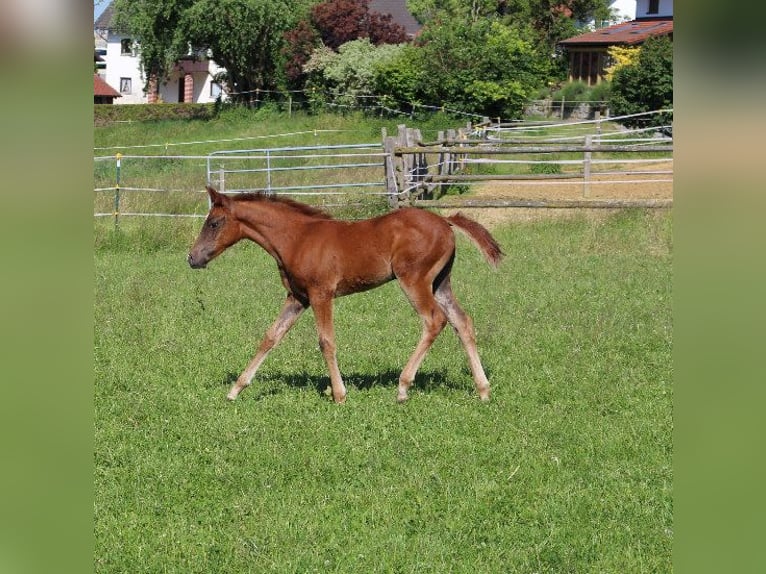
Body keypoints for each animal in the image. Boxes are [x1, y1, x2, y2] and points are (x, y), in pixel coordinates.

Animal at [188, 187, 504, 402]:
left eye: (214, 223)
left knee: (434, 320)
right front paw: (236, 389)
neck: (296, 238)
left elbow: (326, 342)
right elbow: (270, 337)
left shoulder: (320, 294)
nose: (192, 258)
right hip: (440, 282)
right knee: (462, 321)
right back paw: (483, 389)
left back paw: (403, 386)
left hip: (414, 279)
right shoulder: (297, 298)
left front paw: (339, 394)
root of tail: (446, 222)